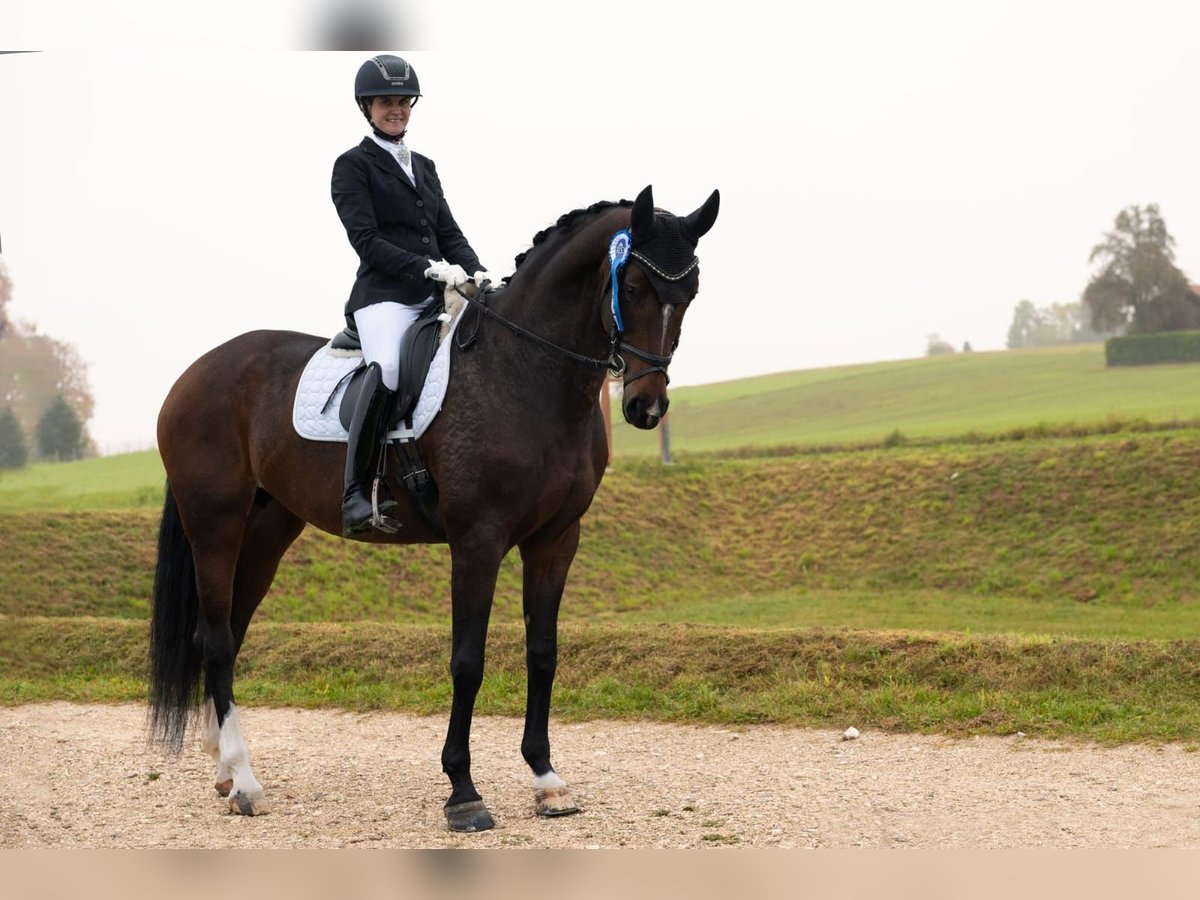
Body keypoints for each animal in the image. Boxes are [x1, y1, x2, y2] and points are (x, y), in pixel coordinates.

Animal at [145, 187, 715, 835]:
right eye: (636, 286)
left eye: (690, 293)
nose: (647, 407)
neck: (525, 372)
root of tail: (194, 374)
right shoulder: (477, 541)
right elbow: (467, 661)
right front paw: (463, 793)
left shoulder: (555, 540)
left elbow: (542, 654)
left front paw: (546, 781)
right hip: (214, 525)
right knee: (216, 639)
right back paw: (245, 783)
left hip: (266, 532)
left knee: (228, 633)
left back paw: (223, 769)